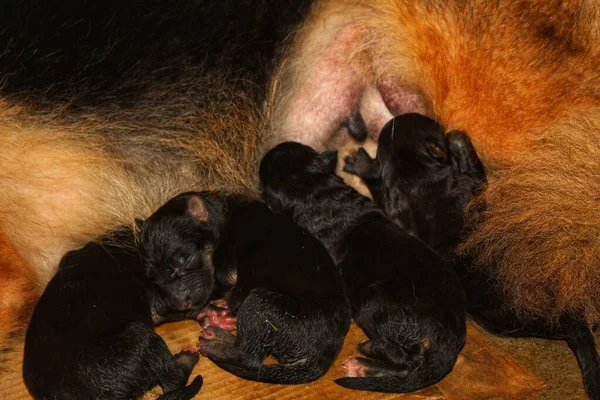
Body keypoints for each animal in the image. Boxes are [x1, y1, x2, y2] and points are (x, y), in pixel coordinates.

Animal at [141, 192, 352, 386]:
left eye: (184, 261)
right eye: (153, 277)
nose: (178, 305)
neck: (221, 219)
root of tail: (323, 354)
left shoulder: (226, 271)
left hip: (260, 302)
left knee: (248, 355)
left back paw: (215, 346)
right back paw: (218, 333)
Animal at [342, 113, 600, 400]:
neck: (412, 172)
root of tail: (571, 318)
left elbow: (380, 189)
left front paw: (363, 165)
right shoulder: (471, 184)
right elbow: (473, 168)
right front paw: (456, 137)